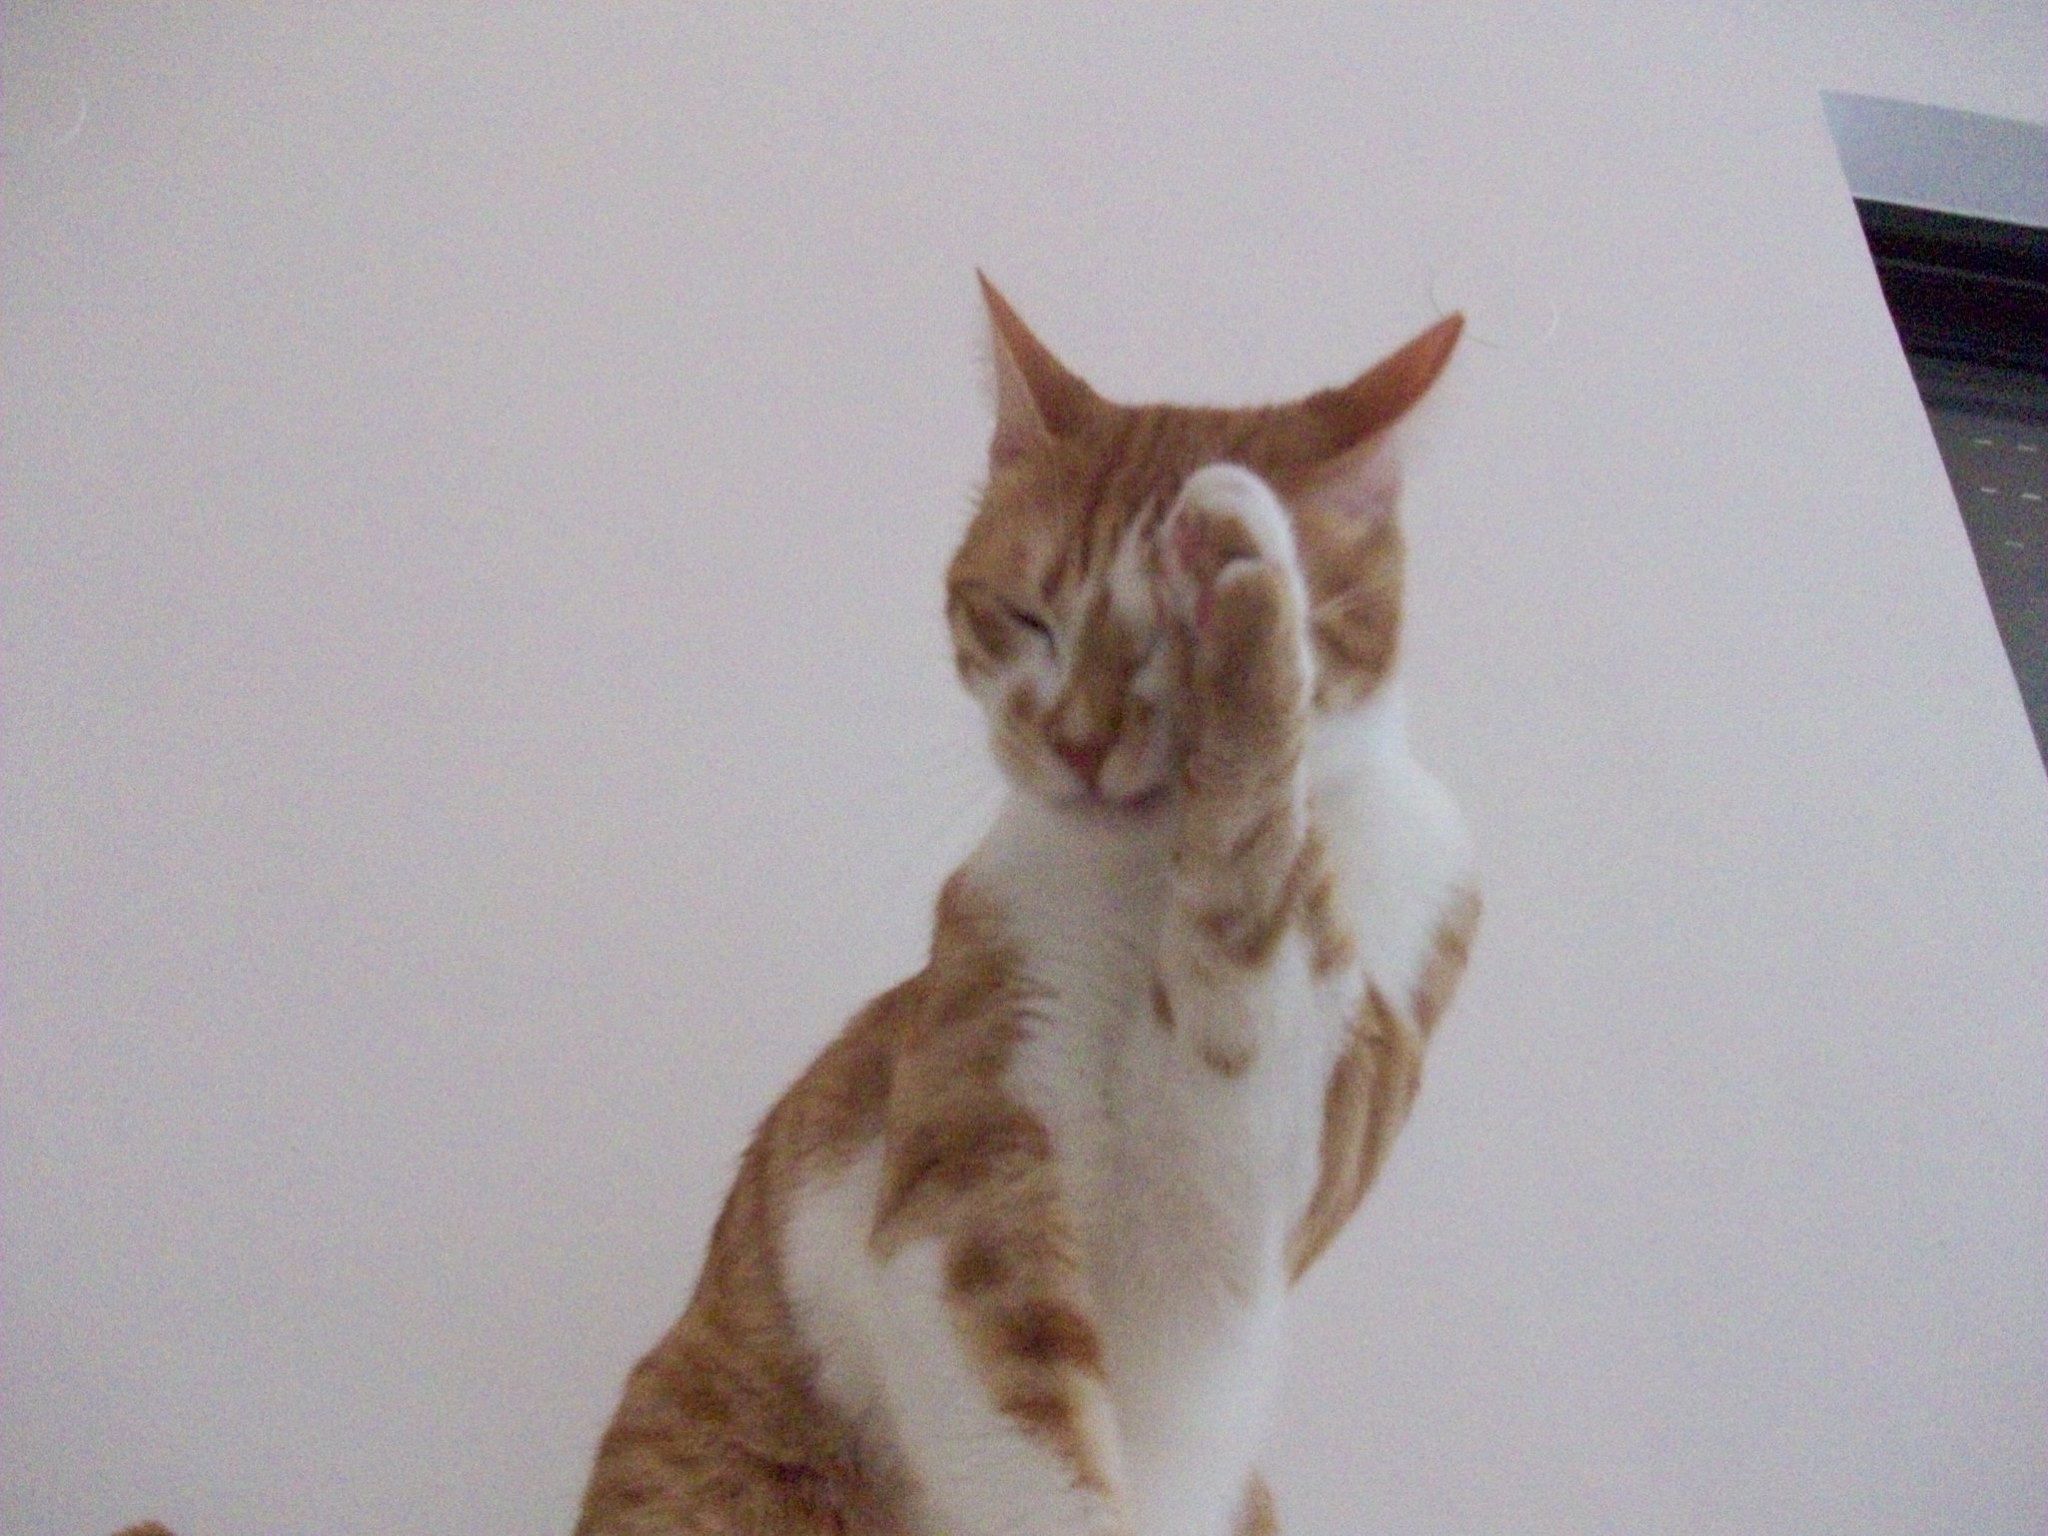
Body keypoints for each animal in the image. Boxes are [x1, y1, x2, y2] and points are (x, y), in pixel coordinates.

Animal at [572, 277, 1480, 1536]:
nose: (1079, 739)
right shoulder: (962, 1191)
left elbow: (1250, 947)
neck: (1149, 889)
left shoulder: (1255, 1179)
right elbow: (1024, 1446)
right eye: (1026, 618)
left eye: (1174, 648)